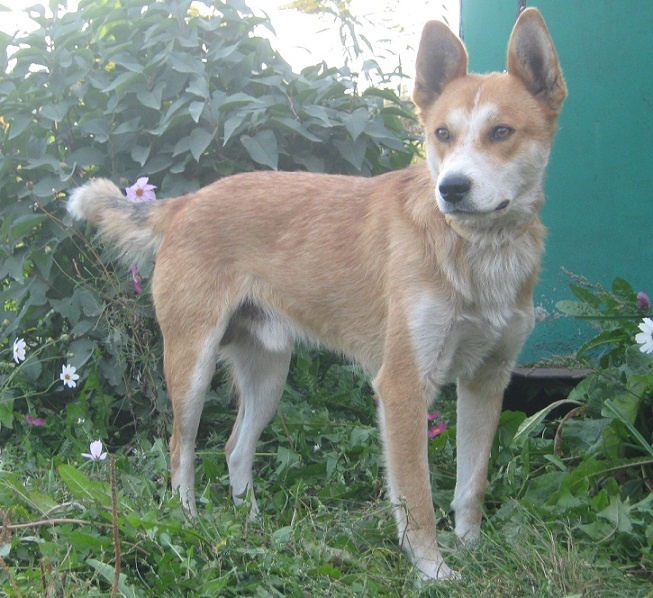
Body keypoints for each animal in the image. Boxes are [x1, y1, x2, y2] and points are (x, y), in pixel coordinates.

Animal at [67, 8, 565, 580]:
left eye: (501, 132)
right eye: (442, 133)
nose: (452, 189)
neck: (475, 253)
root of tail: (186, 202)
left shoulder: (486, 381)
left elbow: (471, 486)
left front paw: (473, 549)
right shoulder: (402, 386)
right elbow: (417, 499)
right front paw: (433, 571)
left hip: (268, 373)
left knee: (235, 449)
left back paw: (251, 527)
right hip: (191, 368)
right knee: (180, 449)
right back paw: (188, 523)